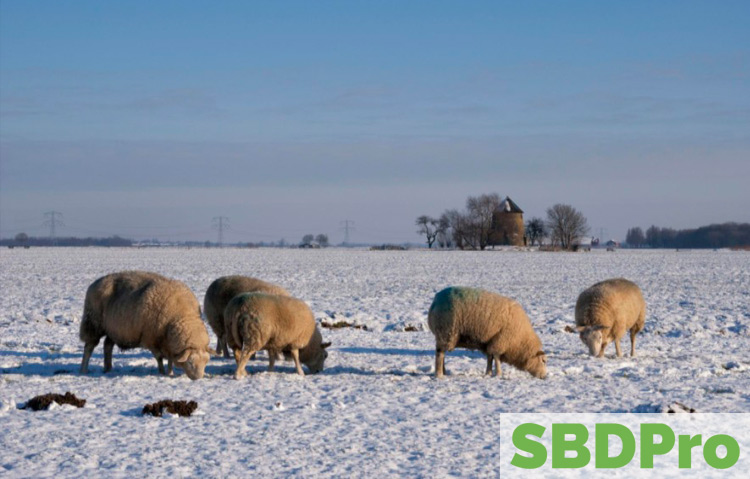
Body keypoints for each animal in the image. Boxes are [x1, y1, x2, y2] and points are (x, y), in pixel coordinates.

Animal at [79, 272, 212, 380]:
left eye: (206, 362)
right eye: (190, 363)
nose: (198, 378)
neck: (181, 316)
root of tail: (95, 282)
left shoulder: (168, 343)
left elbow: (170, 359)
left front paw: (170, 372)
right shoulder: (151, 339)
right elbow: (159, 358)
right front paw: (162, 372)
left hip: (114, 329)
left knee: (107, 345)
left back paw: (108, 368)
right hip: (92, 323)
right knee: (89, 347)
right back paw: (84, 369)